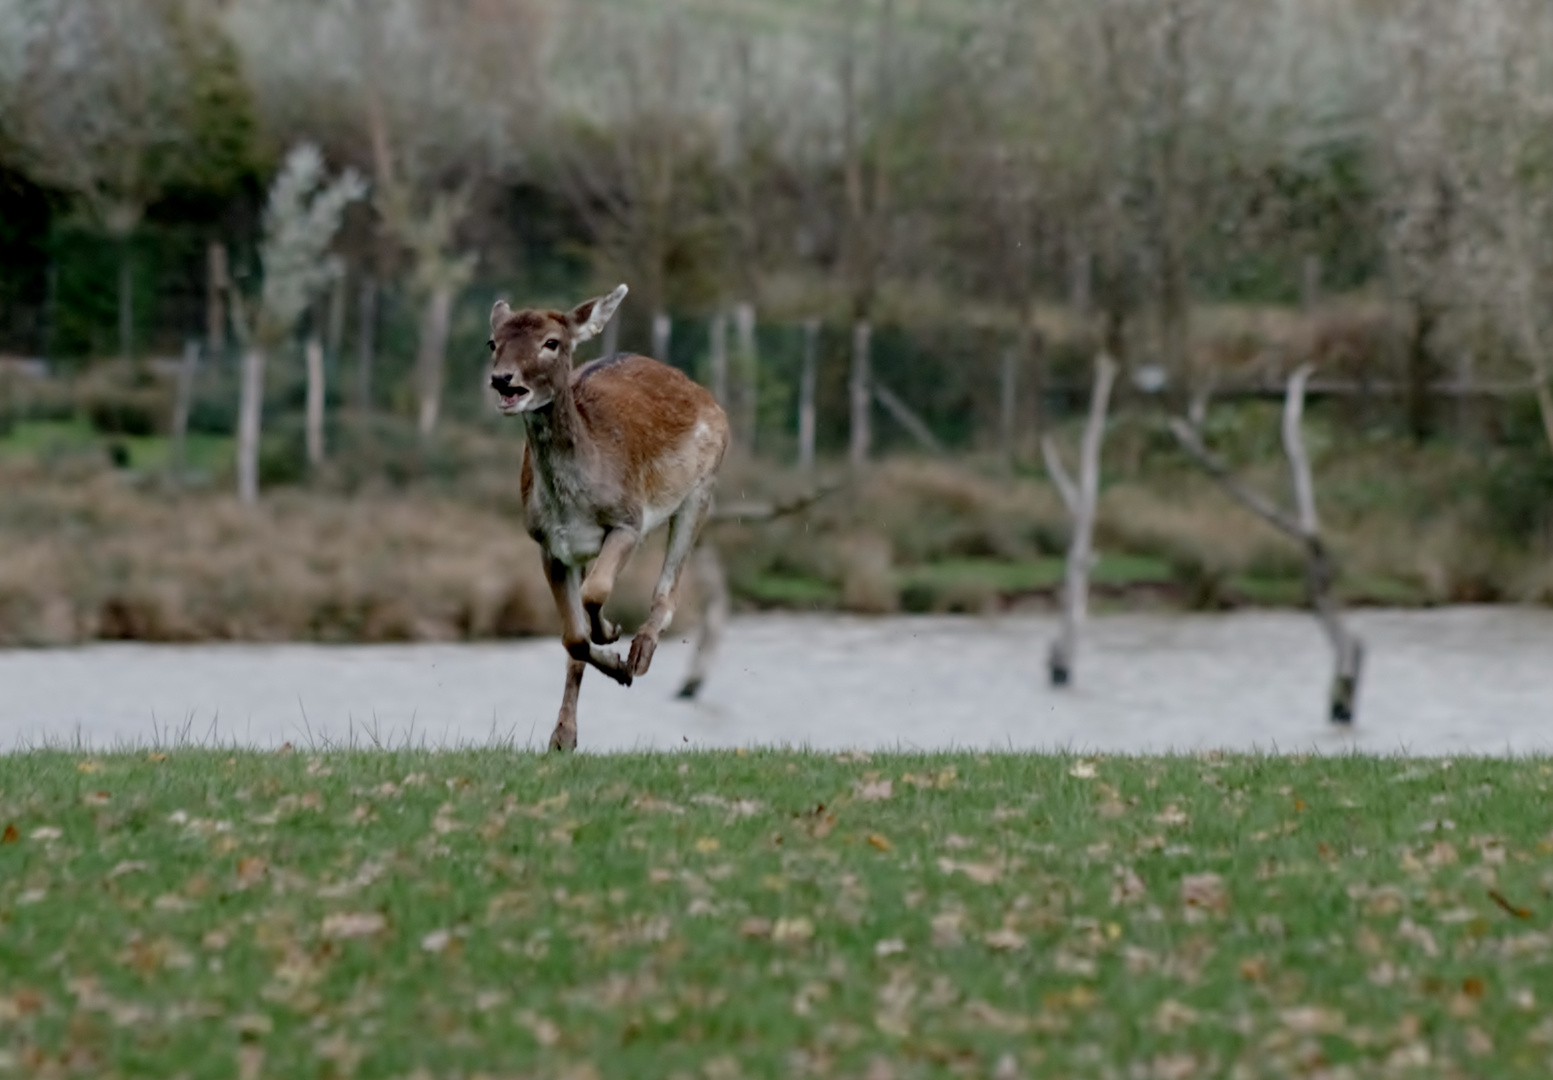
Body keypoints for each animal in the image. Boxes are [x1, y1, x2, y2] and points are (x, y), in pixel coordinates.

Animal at [487, 285, 729, 752]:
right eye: (493, 342)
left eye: (551, 342)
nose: (503, 379)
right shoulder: (549, 545)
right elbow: (573, 639)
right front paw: (568, 728)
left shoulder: (628, 520)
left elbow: (596, 593)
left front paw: (616, 638)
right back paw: (566, 732)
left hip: (703, 487)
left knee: (670, 589)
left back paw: (642, 654)